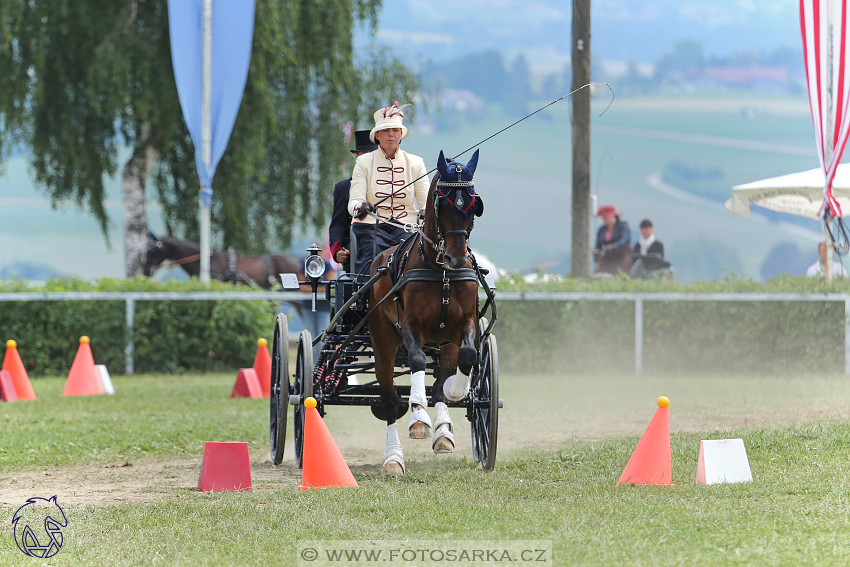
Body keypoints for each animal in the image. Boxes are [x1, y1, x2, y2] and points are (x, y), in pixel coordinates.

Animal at [366, 150, 480, 474]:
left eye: (473, 205)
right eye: (443, 204)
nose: (456, 258)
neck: (440, 271)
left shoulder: (463, 324)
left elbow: (465, 359)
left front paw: (455, 396)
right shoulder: (410, 324)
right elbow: (417, 360)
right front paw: (418, 417)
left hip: (443, 343)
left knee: (440, 378)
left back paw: (442, 429)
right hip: (383, 342)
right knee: (389, 398)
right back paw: (393, 457)